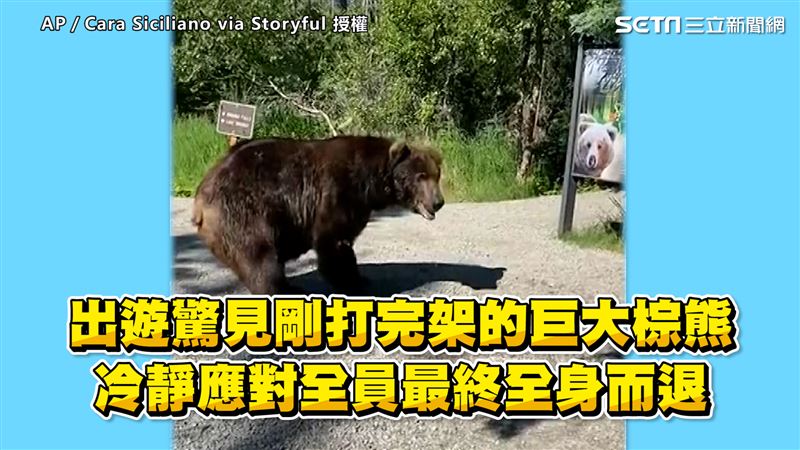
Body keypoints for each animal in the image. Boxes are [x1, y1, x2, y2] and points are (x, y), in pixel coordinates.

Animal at [191, 135, 445, 295]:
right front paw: (353, 281)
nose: (438, 202)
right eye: (421, 176)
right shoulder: (336, 192)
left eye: (436, 175)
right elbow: (334, 242)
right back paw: (281, 290)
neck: (369, 183)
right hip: (244, 210)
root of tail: (201, 197)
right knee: (259, 255)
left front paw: (360, 278)